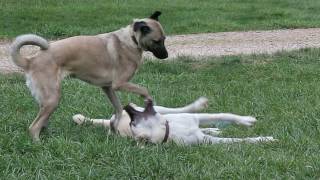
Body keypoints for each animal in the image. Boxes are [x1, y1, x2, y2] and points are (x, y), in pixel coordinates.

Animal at [10, 11, 168, 142]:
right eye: (157, 41)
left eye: (164, 39)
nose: (166, 56)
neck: (131, 39)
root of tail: (30, 60)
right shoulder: (119, 84)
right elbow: (144, 89)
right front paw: (148, 100)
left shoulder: (107, 87)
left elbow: (118, 109)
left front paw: (113, 127)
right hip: (52, 99)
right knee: (33, 127)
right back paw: (38, 143)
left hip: (47, 100)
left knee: (41, 122)